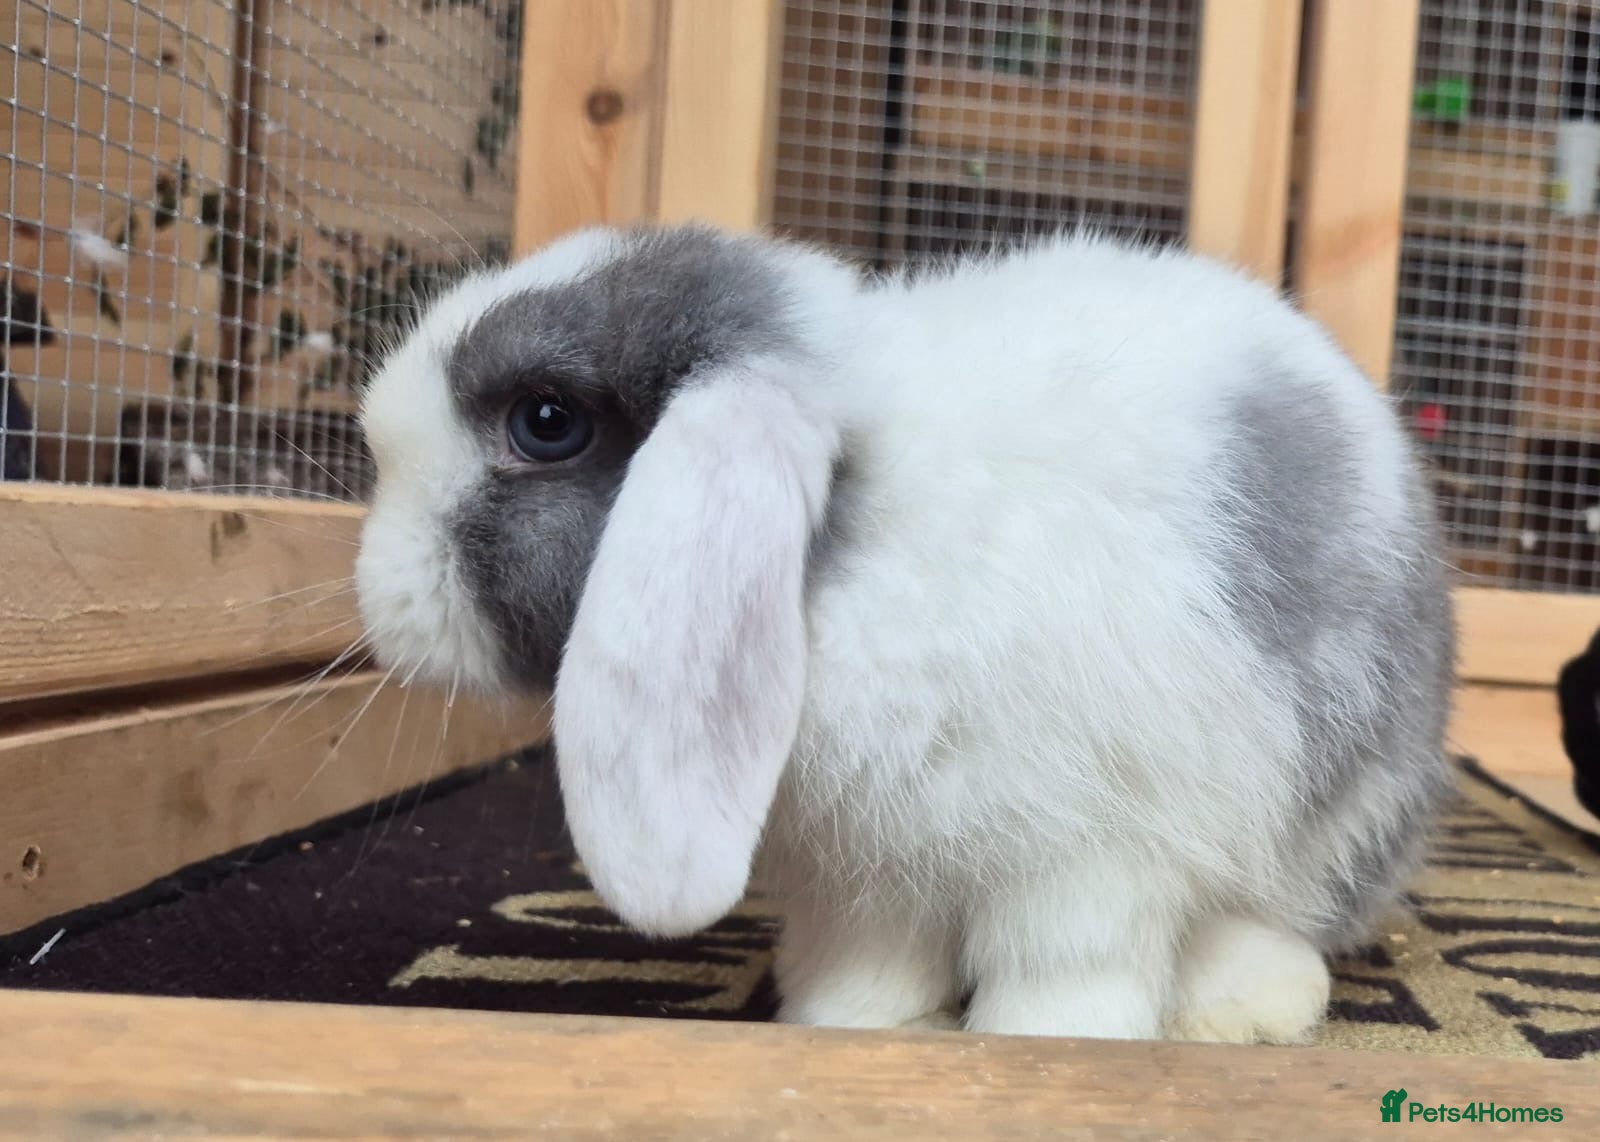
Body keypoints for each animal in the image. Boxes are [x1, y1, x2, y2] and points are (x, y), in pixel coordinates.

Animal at [353, 222, 1456, 1045]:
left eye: (545, 421)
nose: (374, 591)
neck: (848, 543)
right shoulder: (869, 868)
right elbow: (872, 950)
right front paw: (849, 1021)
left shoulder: (1091, 848)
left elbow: (1068, 961)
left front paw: (1047, 1042)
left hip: (1345, 807)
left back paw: (1243, 1005)